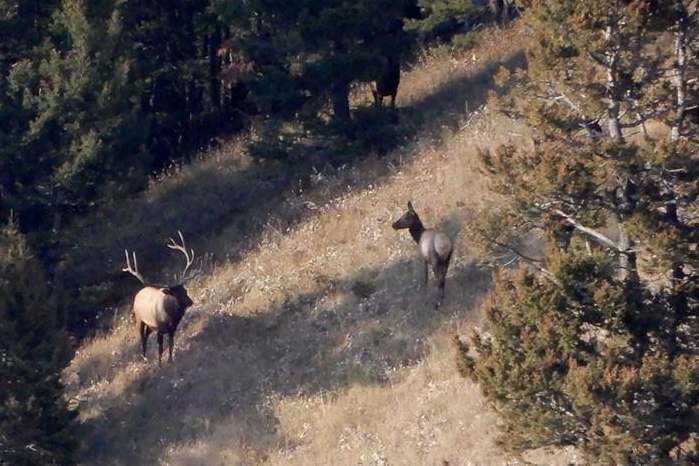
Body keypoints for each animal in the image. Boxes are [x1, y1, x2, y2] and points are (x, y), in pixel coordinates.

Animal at [123, 231, 197, 366]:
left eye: (185, 290)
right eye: (175, 294)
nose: (190, 302)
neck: (171, 317)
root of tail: (138, 293)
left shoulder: (172, 329)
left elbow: (171, 345)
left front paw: (171, 360)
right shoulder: (160, 329)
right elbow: (160, 348)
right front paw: (160, 364)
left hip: (150, 326)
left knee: (146, 335)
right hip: (139, 319)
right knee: (142, 338)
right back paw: (144, 357)